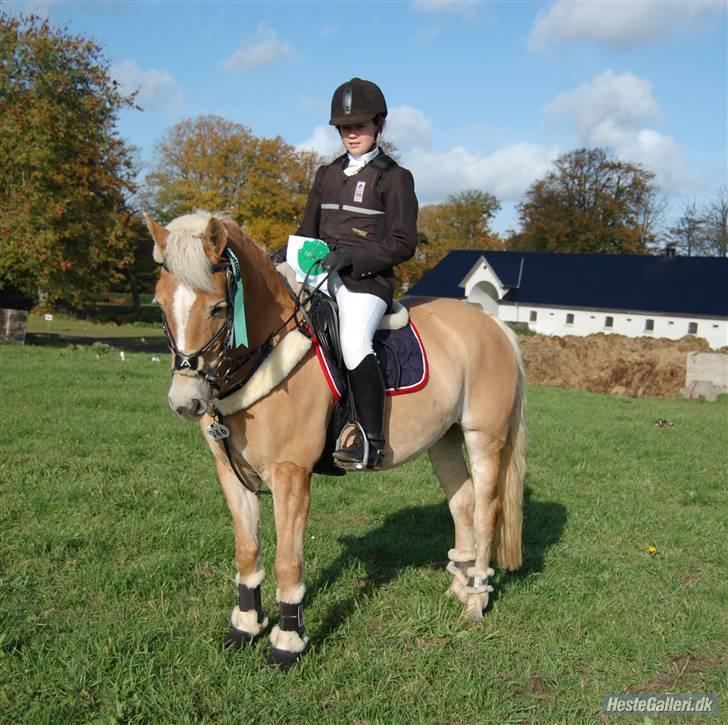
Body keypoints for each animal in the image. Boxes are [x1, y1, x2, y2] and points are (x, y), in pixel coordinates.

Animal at [144, 210, 526, 669]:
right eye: (160, 306)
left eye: (219, 308)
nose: (186, 401)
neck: (267, 354)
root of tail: (496, 325)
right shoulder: (232, 474)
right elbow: (248, 553)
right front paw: (245, 628)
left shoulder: (291, 476)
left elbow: (287, 563)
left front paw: (287, 644)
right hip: (444, 439)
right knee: (462, 502)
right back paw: (460, 584)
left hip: (483, 436)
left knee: (487, 510)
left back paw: (475, 601)